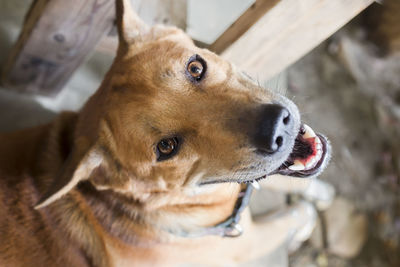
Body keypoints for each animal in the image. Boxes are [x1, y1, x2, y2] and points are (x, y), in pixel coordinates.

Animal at [0, 1, 332, 266]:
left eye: (195, 68)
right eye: (167, 147)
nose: (277, 127)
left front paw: (320, 190)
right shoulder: (246, 243)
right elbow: (290, 218)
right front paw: (307, 214)